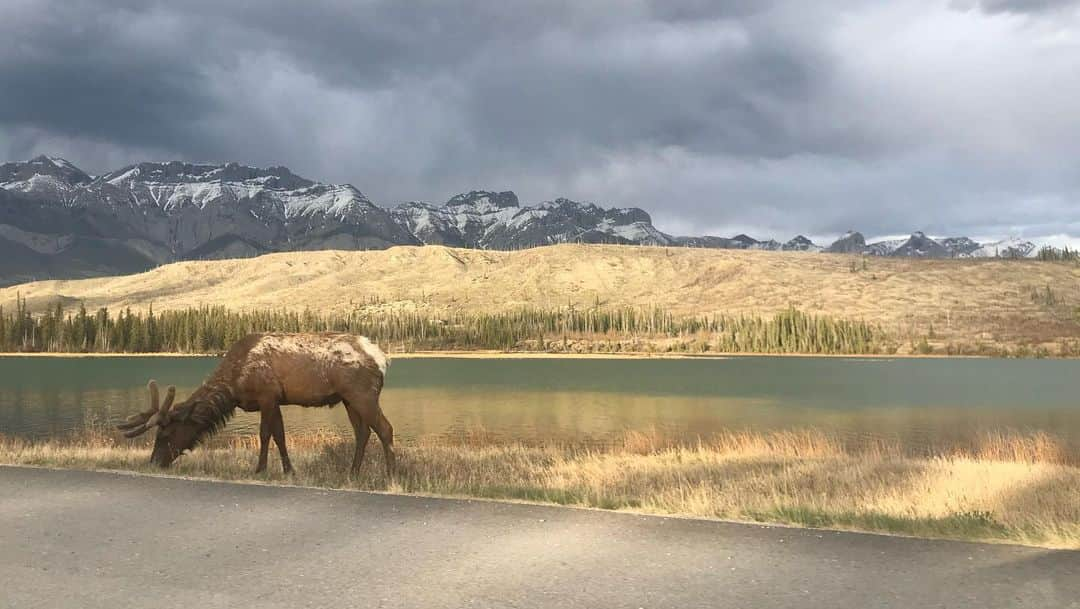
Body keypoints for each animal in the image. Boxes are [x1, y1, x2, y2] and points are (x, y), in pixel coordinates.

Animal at [116, 332, 395, 475]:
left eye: (165, 434)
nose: (153, 462)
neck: (234, 386)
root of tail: (382, 359)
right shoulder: (276, 400)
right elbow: (280, 435)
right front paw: (288, 470)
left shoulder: (266, 396)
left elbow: (264, 434)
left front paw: (259, 469)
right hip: (348, 399)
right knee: (363, 432)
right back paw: (353, 472)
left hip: (363, 394)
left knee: (385, 428)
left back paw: (392, 473)